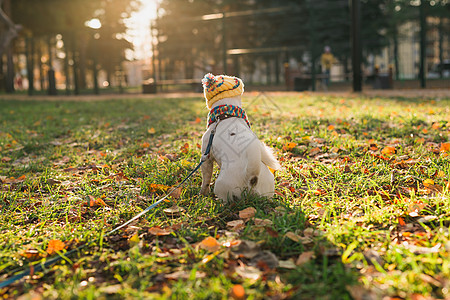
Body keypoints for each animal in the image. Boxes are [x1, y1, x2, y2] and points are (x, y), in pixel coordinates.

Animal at [199, 74, 280, 203]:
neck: (225, 115)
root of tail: (252, 178)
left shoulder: (206, 157)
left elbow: (205, 180)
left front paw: (203, 194)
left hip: (222, 187)